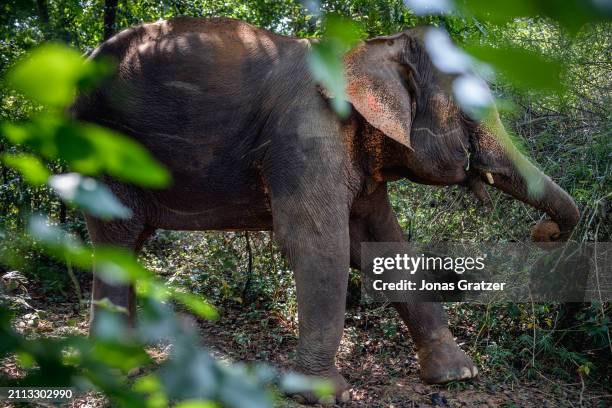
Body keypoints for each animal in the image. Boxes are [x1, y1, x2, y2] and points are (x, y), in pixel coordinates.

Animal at [71, 17, 580, 404]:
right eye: (469, 110)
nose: (545, 232)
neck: (370, 48)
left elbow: (382, 247)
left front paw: (458, 376)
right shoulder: (307, 135)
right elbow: (319, 245)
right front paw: (322, 394)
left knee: (131, 244)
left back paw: (134, 361)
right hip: (101, 149)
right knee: (117, 238)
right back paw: (115, 369)